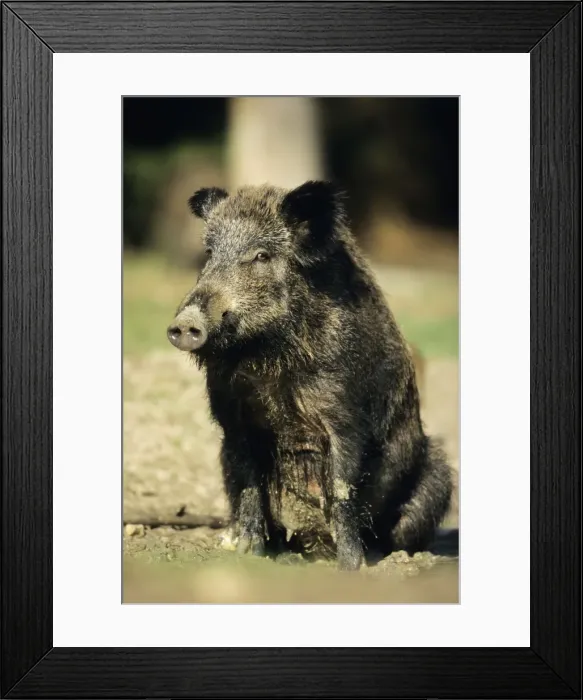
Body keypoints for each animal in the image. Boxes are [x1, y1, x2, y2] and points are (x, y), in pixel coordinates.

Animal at [167, 181, 452, 570]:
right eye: (209, 253)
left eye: (261, 256)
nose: (185, 323)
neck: (268, 359)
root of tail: (313, 544)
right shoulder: (231, 416)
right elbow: (247, 483)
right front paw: (248, 553)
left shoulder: (346, 413)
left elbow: (343, 488)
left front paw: (351, 567)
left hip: (438, 478)